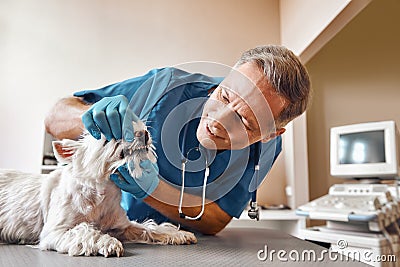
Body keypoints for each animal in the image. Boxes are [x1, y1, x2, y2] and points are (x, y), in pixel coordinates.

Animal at [0, 119, 197, 258]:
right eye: (108, 137)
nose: (145, 133)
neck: (104, 193)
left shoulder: (122, 226)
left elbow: (148, 228)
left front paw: (178, 234)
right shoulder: (55, 231)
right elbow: (85, 231)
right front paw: (107, 242)